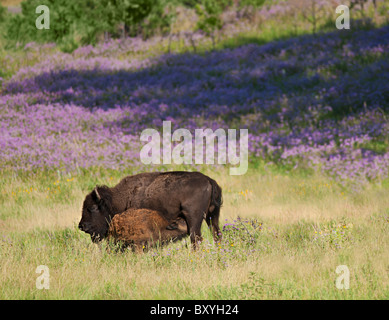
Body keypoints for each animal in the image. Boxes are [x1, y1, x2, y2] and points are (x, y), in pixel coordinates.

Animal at [77, 171, 221, 246]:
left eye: (93, 207)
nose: (82, 226)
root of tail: (209, 180)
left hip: (194, 219)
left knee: (196, 238)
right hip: (213, 216)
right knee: (216, 235)